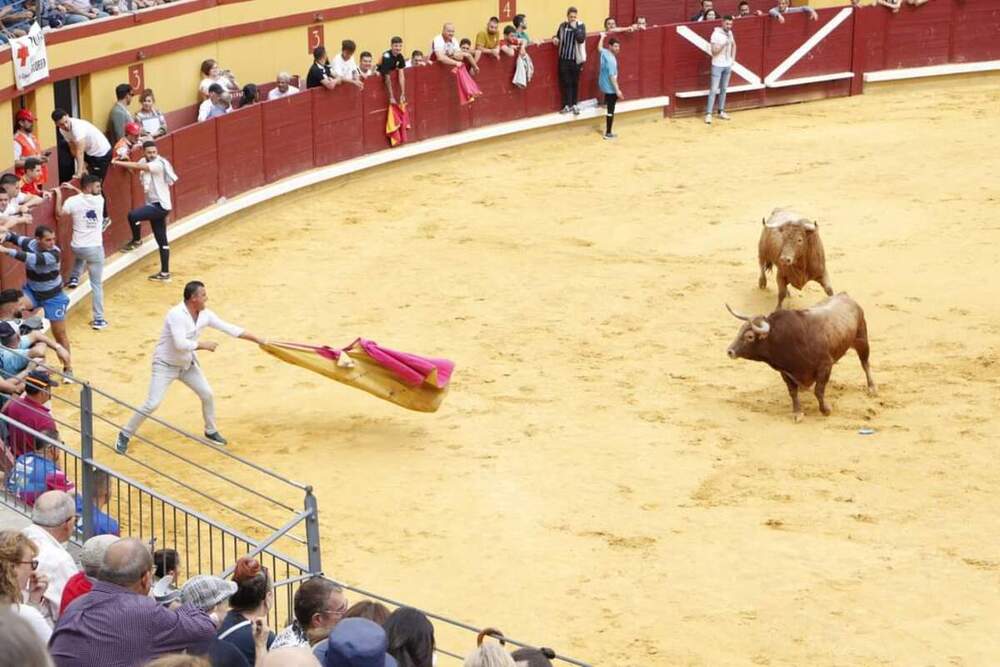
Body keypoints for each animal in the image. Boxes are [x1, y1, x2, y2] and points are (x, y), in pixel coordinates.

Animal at [728, 294, 876, 422]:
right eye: (740, 330)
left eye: (750, 336)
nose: (729, 351)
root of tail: (845, 296)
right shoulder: (785, 372)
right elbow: (793, 392)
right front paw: (798, 413)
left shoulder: (825, 365)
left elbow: (818, 391)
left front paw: (826, 410)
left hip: (862, 340)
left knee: (865, 364)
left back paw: (872, 388)